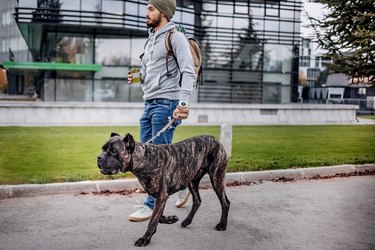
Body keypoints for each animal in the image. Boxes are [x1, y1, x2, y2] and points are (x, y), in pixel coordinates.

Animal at [97, 133, 231, 246]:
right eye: (103, 149)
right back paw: (187, 221)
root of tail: (216, 140)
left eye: (114, 151)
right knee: (197, 201)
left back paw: (222, 224)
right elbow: (158, 216)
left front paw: (145, 239)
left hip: (216, 177)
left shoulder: (161, 195)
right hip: (193, 181)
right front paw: (170, 219)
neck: (144, 159)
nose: (99, 157)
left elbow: (152, 220)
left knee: (225, 202)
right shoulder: (160, 196)